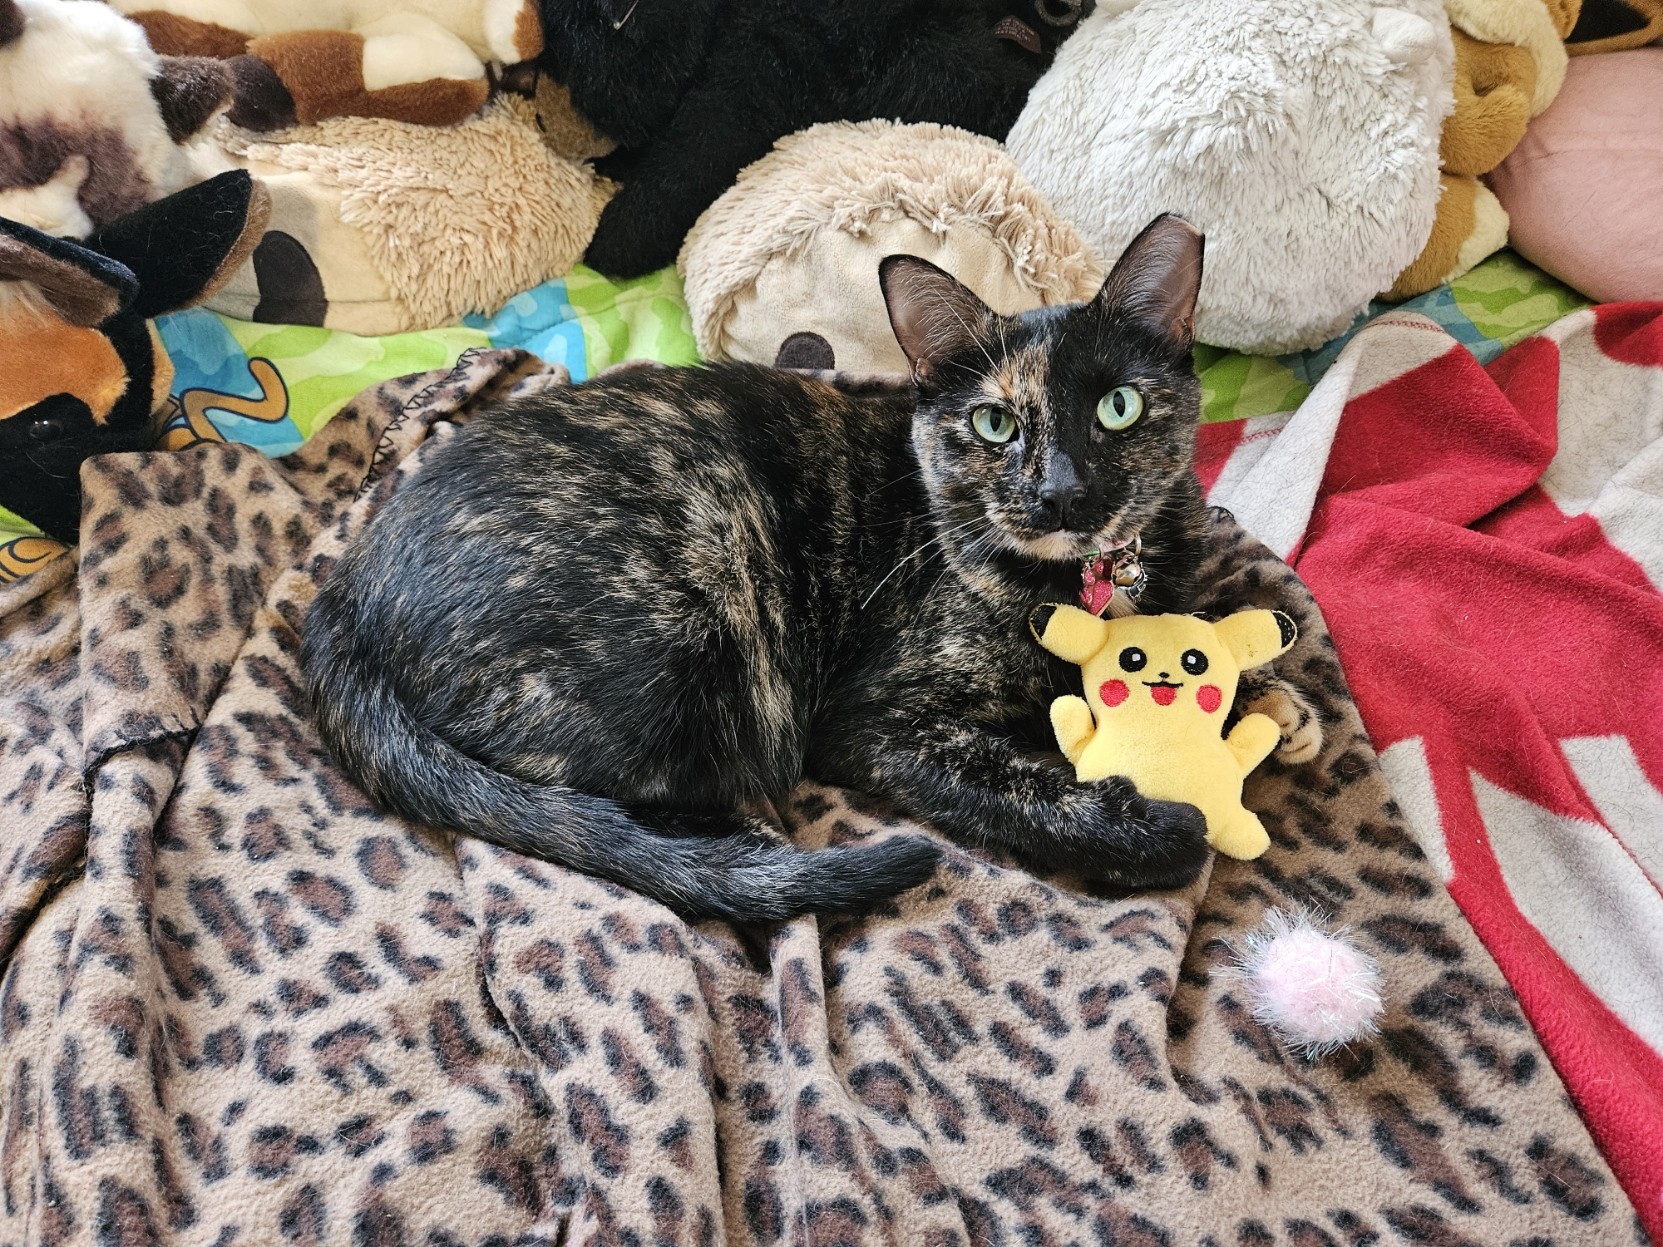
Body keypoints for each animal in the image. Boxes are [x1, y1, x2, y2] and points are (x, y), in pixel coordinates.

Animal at [302, 214, 1310, 924]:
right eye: (994, 424)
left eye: (1116, 407)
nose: (1060, 491)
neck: (1089, 588)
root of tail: (343, 590)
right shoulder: (874, 724)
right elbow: (1016, 783)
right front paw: (1149, 826)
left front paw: (1274, 702)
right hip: (699, 615)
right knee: (585, 799)